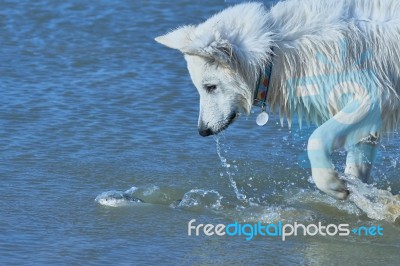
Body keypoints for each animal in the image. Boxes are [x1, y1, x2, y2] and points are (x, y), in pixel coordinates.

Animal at [155, 0, 400, 200]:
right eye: (201, 89)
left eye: (210, 87)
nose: (202, 131)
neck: (276, 51)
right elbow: (357, 167)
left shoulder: (375, 96)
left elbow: (316, 138)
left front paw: (331, 184)